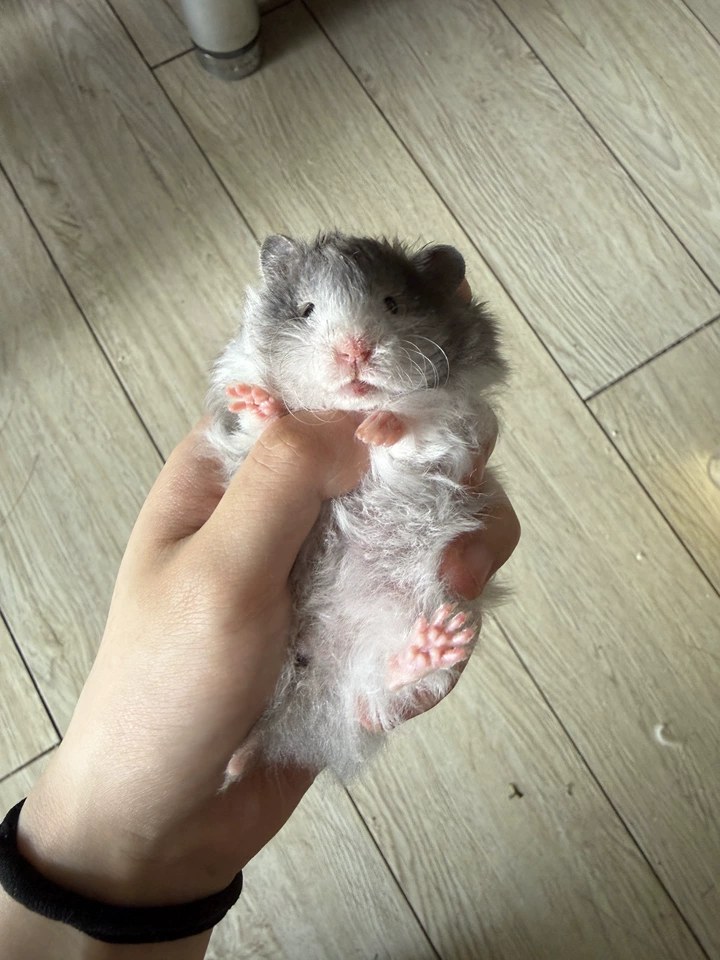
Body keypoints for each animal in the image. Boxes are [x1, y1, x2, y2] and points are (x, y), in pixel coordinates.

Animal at [206, 232, 508, 781]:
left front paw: (374, 429)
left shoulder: (455, 413)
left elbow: (413, 417)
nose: (354, 350)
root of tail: (313, 689)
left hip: (402, 615)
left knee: (387, 684)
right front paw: (254, 401)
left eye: (392, 303)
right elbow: (270, 419)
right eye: (306, 309)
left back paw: (434, 645)